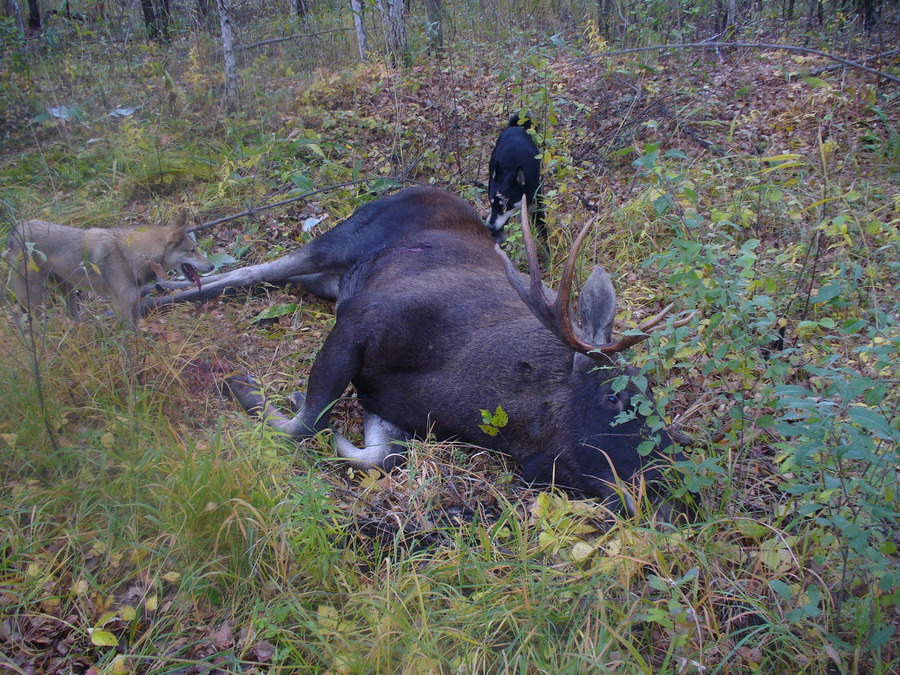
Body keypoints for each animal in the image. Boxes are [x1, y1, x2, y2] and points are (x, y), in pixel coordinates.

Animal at [6, 210, 213, 328]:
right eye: (193, 250)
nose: (212, 266)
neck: (127, 255)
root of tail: (16, 230)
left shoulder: (133, 301)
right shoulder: (122, 304)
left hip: (68, 291)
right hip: (33, 298)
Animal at [209, 187, 688, 516]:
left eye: (656, 396)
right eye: (614, 397)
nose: (676, 487)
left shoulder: (386, 401)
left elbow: (381, 455)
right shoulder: (360, 322)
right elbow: (305, 424)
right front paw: (245, 386)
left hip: (333, 278)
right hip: (342, 237)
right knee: (248, 271)